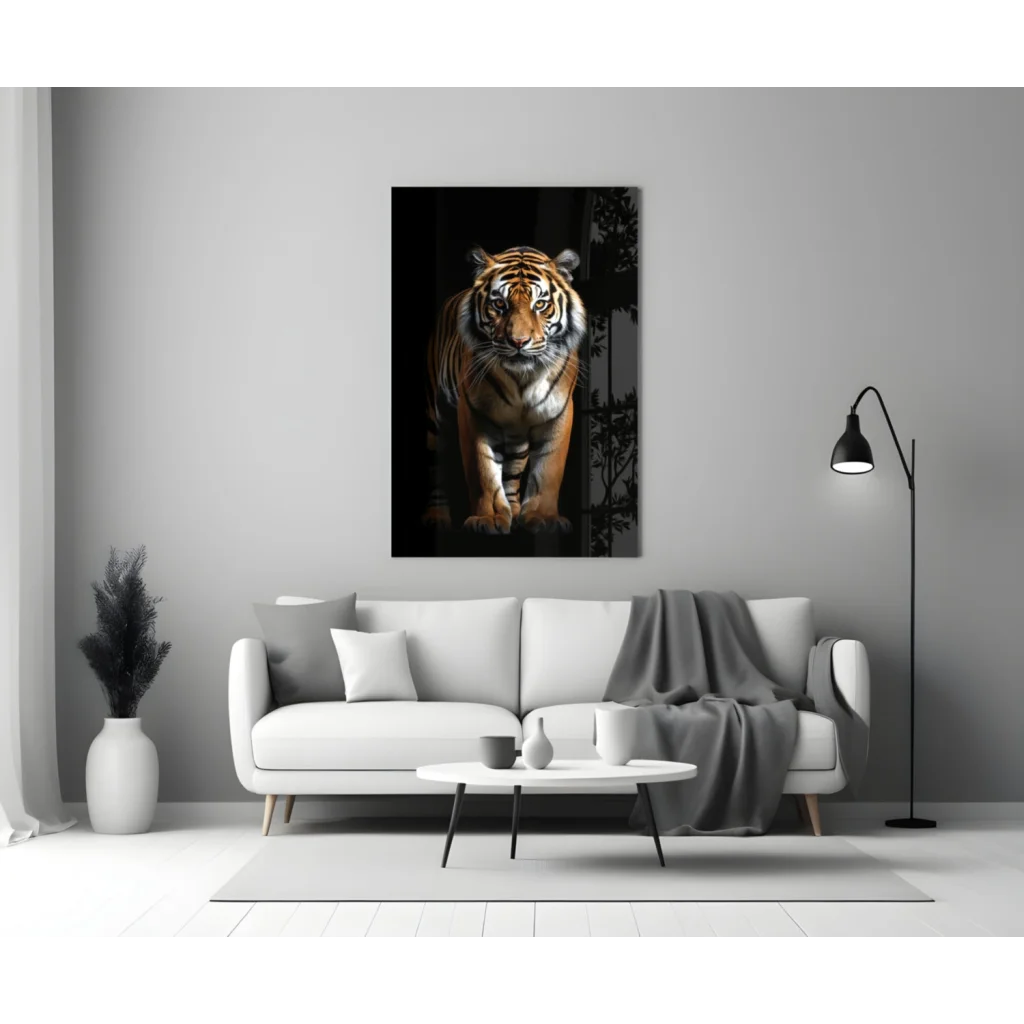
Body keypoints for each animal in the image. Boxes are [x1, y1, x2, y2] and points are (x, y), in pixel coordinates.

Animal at [423, 245, 586, 534]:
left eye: (540, 304)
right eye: (499, 304)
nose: (518, 342)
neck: (523, 379)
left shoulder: (558, 411)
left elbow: (549, 468)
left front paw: (543, 518)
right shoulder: (473, 412)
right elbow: (482, 471)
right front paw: (487, 519)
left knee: (512, 470)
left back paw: (514, 511)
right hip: (436, 415)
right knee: (436, 465)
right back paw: (437, 517)